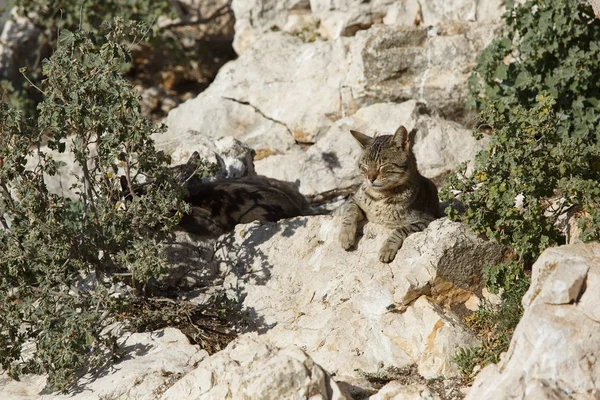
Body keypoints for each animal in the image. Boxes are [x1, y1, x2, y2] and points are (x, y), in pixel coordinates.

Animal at [340, 125, 442, 262]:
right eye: (365, 166)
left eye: (383, 166)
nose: (370, 178)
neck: (380, 197)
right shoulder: (354, 200)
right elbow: (349, 212)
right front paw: (345, 235)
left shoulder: (426, 219)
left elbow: (401, 230)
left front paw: (387, 248)